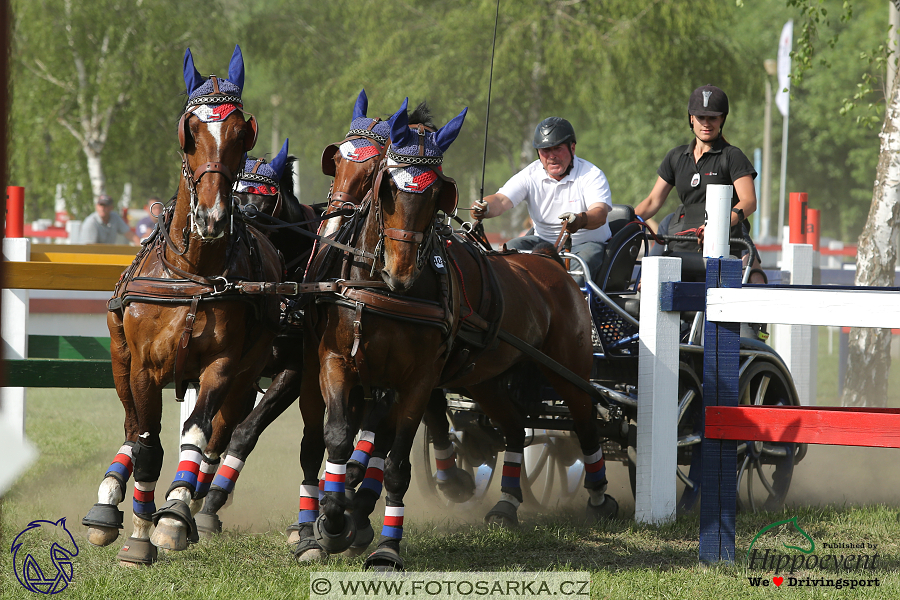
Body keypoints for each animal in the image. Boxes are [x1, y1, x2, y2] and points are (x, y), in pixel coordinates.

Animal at [83, 47, 284, 568]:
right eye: (190, 131)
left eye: (240, 133)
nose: (213, 217)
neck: (191, 274)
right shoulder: (141, 367)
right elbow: (147, 443)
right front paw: (138, 533)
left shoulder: (223, 365)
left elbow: (196, 436)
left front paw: (172, 518)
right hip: (120, 362)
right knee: (132, 428)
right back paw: (108, 504)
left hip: (243, 375)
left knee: (218, 435)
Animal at [302, 101, 620, 568]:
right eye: (387, 184)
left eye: (438, 192)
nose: (400, 271)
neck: (382, 290)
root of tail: (554, 260)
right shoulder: (337, 363)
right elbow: (341, 438)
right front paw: (335, 521)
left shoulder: (416, 381)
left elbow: (393, 462)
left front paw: (384, 545)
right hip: (484, 379)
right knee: (515, 427)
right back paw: (507, 502)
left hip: (569, 368)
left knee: (584, 423)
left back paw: (599, 496)